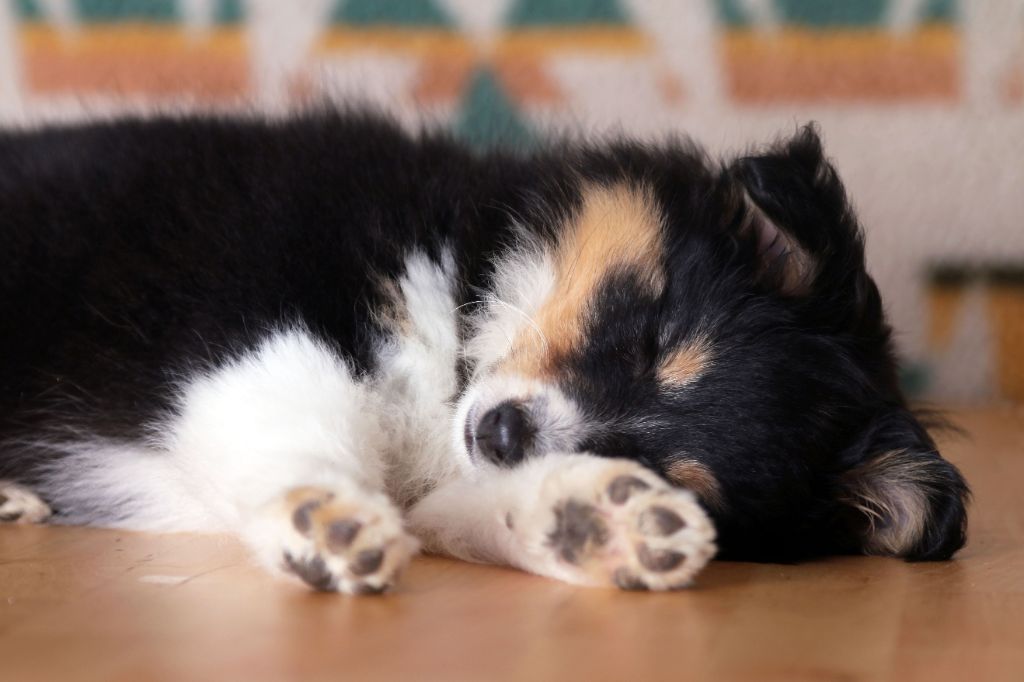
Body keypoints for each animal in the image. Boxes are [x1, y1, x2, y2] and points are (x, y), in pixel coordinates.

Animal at [0, 111, 966, 589]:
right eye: (649, 332)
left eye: (671, 469)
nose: (501, 434)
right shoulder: (244, 303)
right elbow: (298, 399)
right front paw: (326, 515)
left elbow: (467, 510)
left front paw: (594, 518)